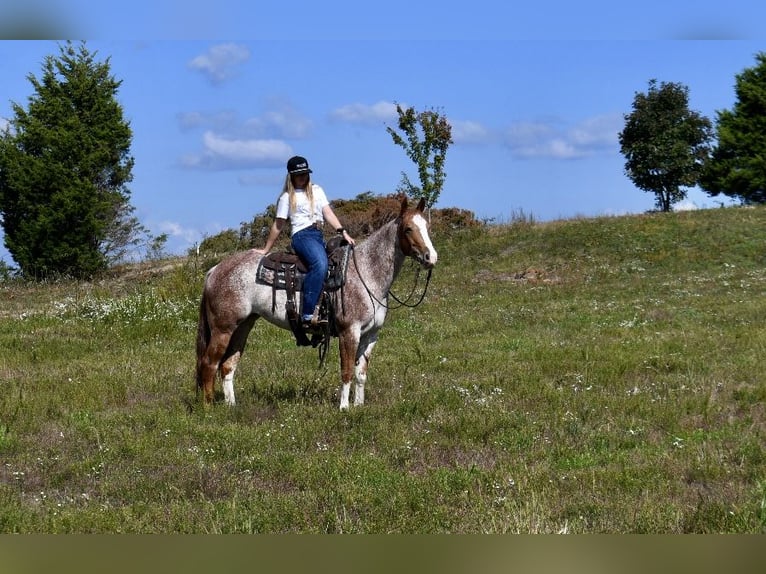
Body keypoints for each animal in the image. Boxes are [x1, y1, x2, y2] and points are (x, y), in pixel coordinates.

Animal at [195, 196, 437, 410]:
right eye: (408, 229)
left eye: (427, 226)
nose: (431, 257)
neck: (366, 273)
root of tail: (214, 270)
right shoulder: (349, 332)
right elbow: (346, 371)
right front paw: (344, 408)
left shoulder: (371, 335)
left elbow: (360, 373)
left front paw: (359, 406)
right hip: (223, 328)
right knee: (209, 364)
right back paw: (208, 408)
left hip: (243, 325)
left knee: (227, 365)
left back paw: (231, 406)